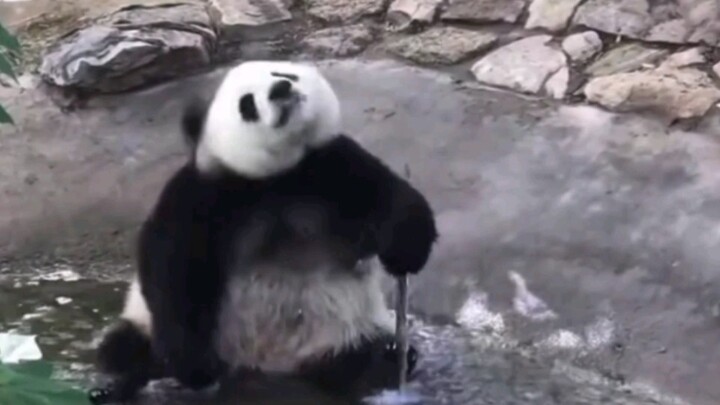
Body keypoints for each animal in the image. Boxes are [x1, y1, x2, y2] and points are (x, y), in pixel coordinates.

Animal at [89, 60, 438, 404]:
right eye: (247, 104)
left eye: (283, 73)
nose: (281, 89)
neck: (276, 176)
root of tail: (267, 367)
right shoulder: (207, 194)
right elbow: (174, 266)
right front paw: (193, 365)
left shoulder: (328, 166)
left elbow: (391, 198)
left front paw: (404, 250)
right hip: (147, 323)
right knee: (122, 346)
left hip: (339, 334)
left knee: (365, 359)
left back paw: (377, 362)